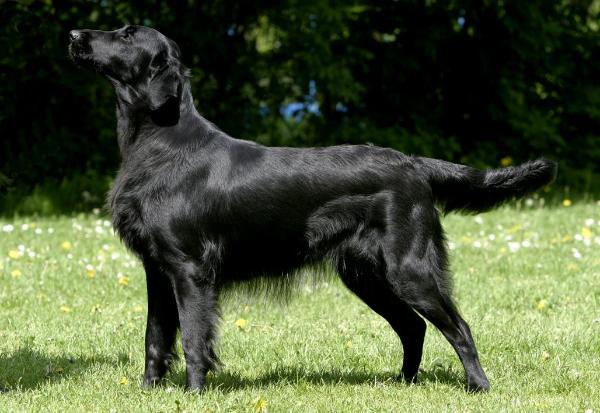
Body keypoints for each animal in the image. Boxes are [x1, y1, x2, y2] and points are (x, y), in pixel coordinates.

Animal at [69, 24, 556, 392]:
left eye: (127, 35)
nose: (74, 34)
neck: (160, 143)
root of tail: (413, 162)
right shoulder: (157, 269)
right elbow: (154, 338)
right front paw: (148, 392)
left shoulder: (190, 269)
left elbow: (192, 338)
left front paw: (194, 394)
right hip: (365, 274)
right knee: (413, 327)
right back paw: (403, 384)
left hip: (408, 269)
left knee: (458, 327)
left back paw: (479, 386)